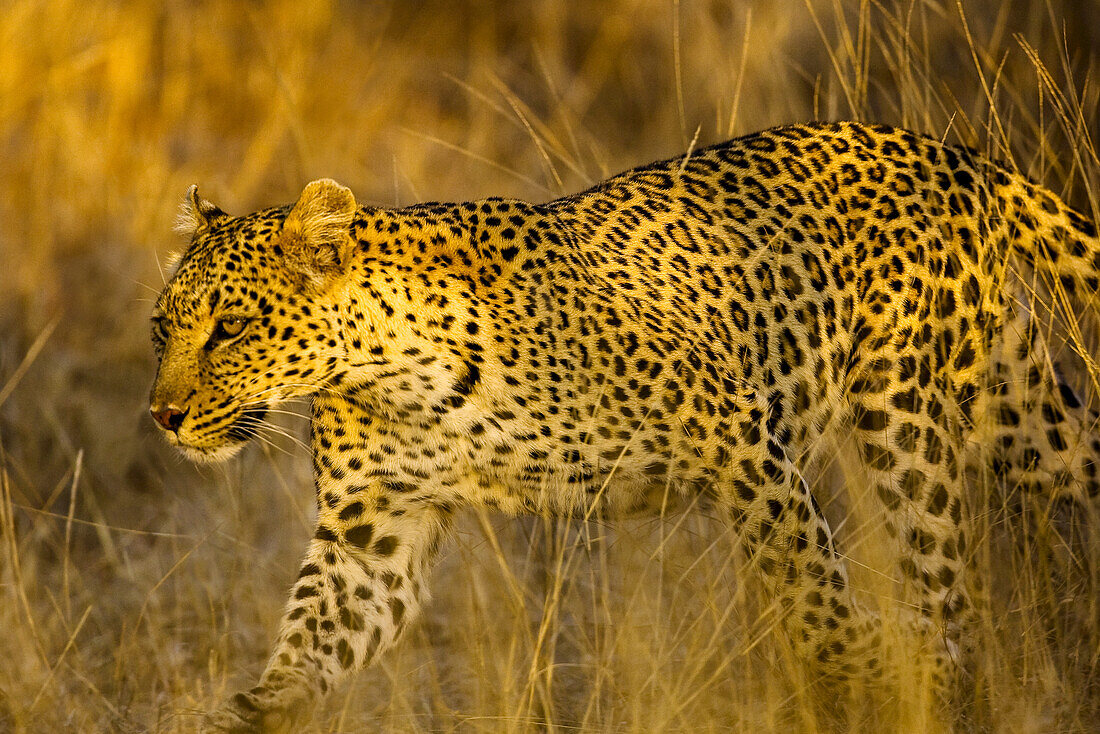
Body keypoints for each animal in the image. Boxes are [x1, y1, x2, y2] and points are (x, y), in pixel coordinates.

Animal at [150, 120, 1100, 730]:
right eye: (163, 327)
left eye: (228, 328)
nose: (162, 416)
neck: (392, 372)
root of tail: (951, 153)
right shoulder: (372, 533)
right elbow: (316, 632)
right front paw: (263, 708)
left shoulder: (737, 438)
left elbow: (811, 597)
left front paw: (876, 659)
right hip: (1019, 414)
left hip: (906, 414)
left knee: (950, 588)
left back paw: (943, 673)